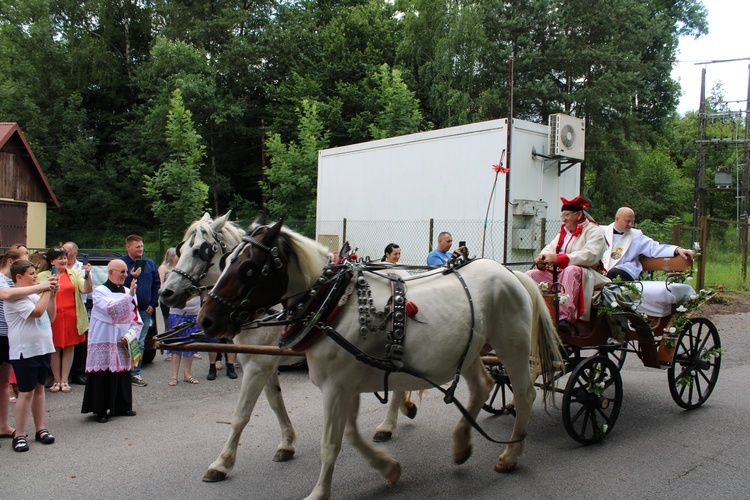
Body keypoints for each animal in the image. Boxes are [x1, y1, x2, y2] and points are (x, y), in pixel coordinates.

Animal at [159, 213, 418, 482]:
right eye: (180, 249)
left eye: (200, 250)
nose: (165, 293)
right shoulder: (264, 363)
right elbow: (275, 402)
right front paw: (287, 443)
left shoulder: (257, 365)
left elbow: (241, 414)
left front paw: (222, 462)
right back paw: (403, 410)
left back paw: (388, 425)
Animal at [197, 220, 560, 500]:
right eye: (225, 259)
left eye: (248, 268)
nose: (206, 320)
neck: (332, 302)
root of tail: (511, 274)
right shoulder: (347, 385)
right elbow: (350, 434)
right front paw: (388, 468)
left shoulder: (335, 387)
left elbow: (331, 442)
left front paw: (319, 492)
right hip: (469, 349)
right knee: (483, 385)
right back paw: (461, 444)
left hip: (511, 345)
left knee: (524, 394)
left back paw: (511, 454)